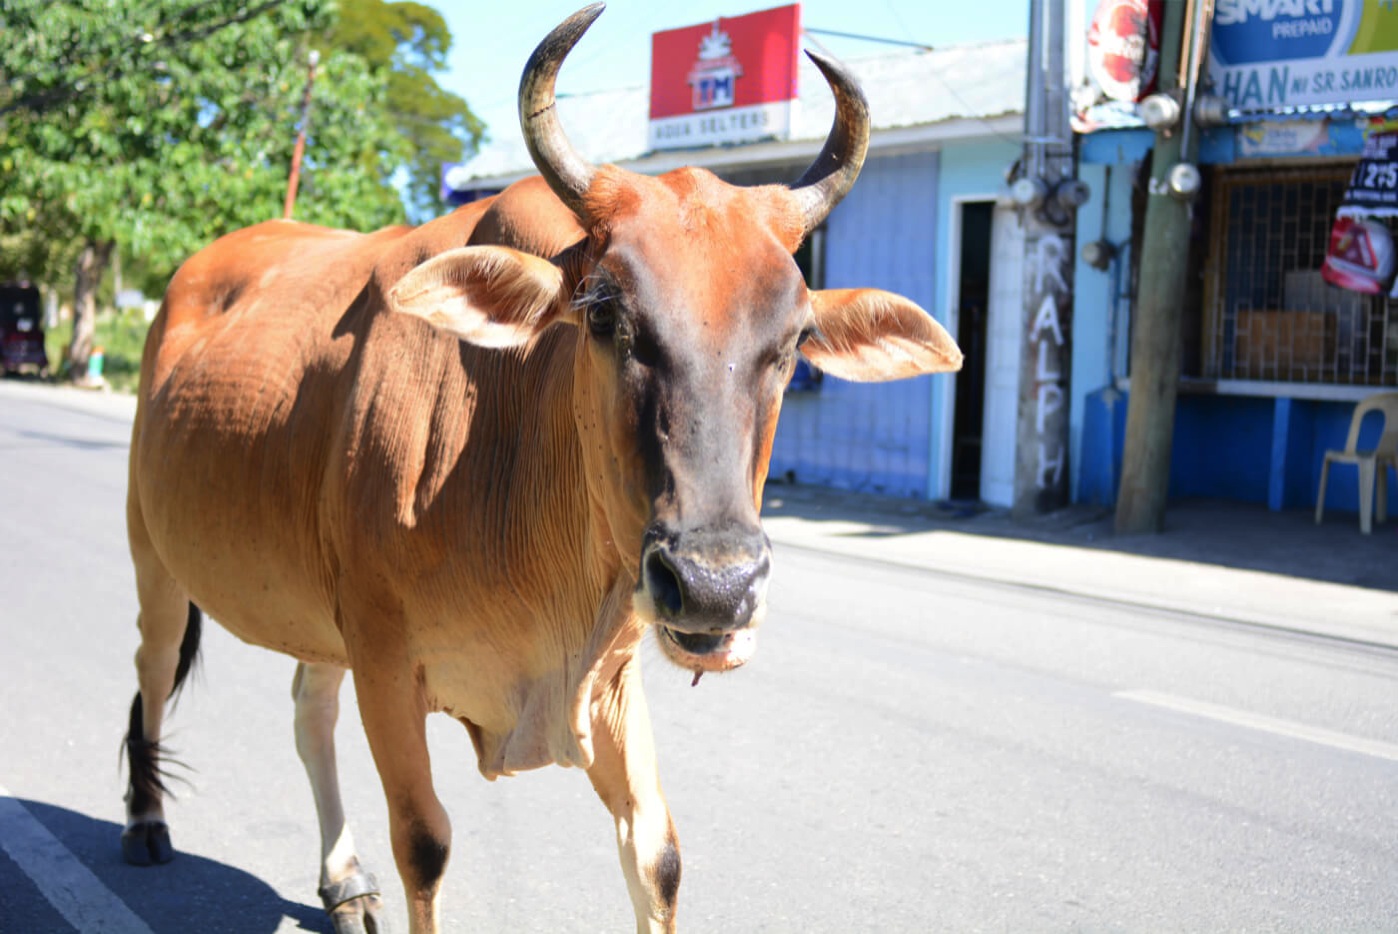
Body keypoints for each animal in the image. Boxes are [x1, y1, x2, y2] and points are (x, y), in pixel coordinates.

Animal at [119, 4, 963, 932]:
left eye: (796, 338)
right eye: (604, 313)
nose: (715, 587)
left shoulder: (608, 677)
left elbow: (659, 857)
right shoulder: (386, 662)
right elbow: (425, 844)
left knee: (309, 710)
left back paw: (344, 881)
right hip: (154, 552)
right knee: (152, 670)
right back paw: (146, 823)